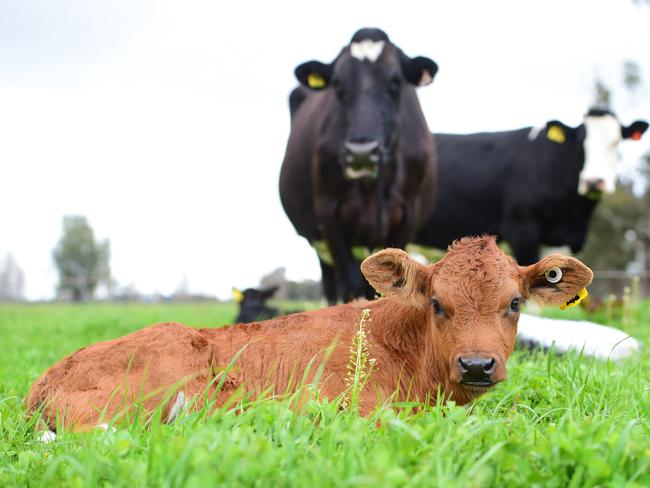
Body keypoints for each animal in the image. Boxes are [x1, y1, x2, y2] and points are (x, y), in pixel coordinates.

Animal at [278, 28, 436, 304]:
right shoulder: (330, 214)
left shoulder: (407, 215)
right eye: (338, 86)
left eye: (395, 82)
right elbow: (352, 285)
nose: (361, 152)